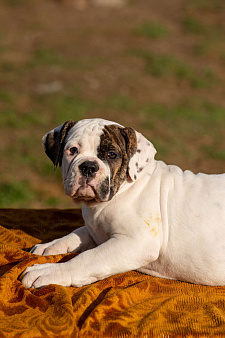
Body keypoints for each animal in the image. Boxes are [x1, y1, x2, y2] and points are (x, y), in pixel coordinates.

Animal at [20, 118, 225, 288]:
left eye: (112, 154)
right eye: (72, 151)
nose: (88, 166)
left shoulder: (136, 242)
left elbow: (87, 258)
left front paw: (49, 271)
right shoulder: (96, 230)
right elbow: (77, 233)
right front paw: (51, 245)